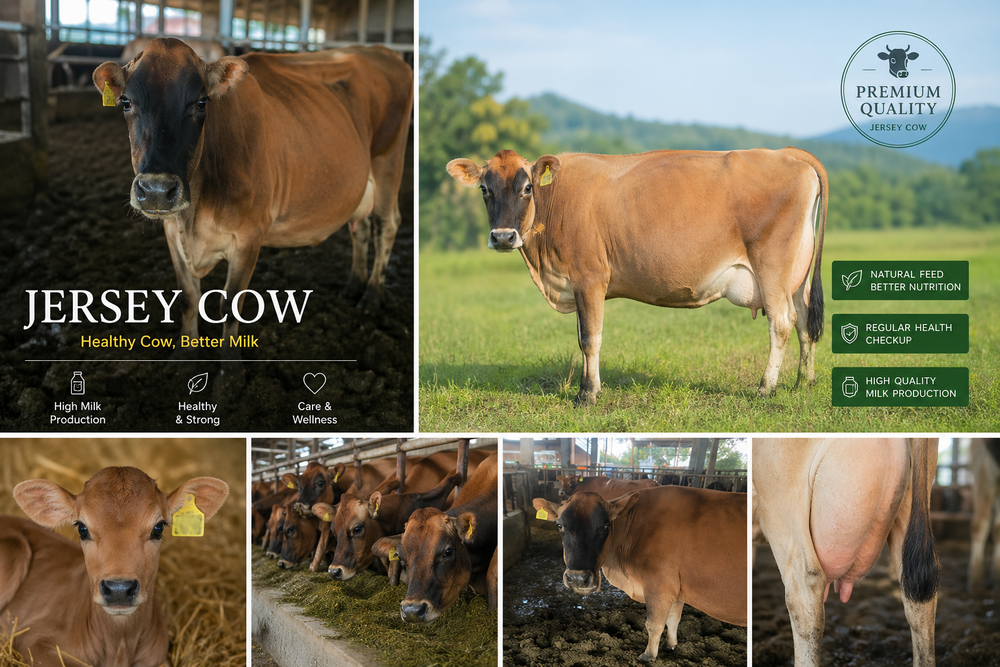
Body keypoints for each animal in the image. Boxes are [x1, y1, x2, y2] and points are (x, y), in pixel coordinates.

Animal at [91, 38, 412, 380]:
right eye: (126, 102)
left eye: (202, 103)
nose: (156, 190)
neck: (195, 217)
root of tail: (378, 49)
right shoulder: (172, 231)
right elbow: (188, 298)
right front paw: (185, 355)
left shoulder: (249, 235)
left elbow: (231, 303)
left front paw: (230, 372)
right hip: (359, 185)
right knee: (359, 226)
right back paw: (354, 284)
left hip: (388, 166)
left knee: (387, 225)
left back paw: (372, 295)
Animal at [447, 147, 828, 404]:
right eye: (484, 189)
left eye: (527, 188)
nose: (502, 237)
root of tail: (784, 153)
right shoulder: (578, 284)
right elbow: (582, 339)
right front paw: (586, 387)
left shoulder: (589, 279)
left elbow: (590, 338)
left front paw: (589, 393)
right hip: (797, 275)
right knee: (804, 319)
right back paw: (803, 381)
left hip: (772, 267)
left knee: (781, 322)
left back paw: (766, 387)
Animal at [533, 485, 745, 662]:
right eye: (559, 526)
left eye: (606, 527)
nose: (577, 577)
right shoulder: (677, 589)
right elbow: (673, 619)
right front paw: (671, 646)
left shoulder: (659, 587)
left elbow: (654, 625)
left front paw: (648, 656)